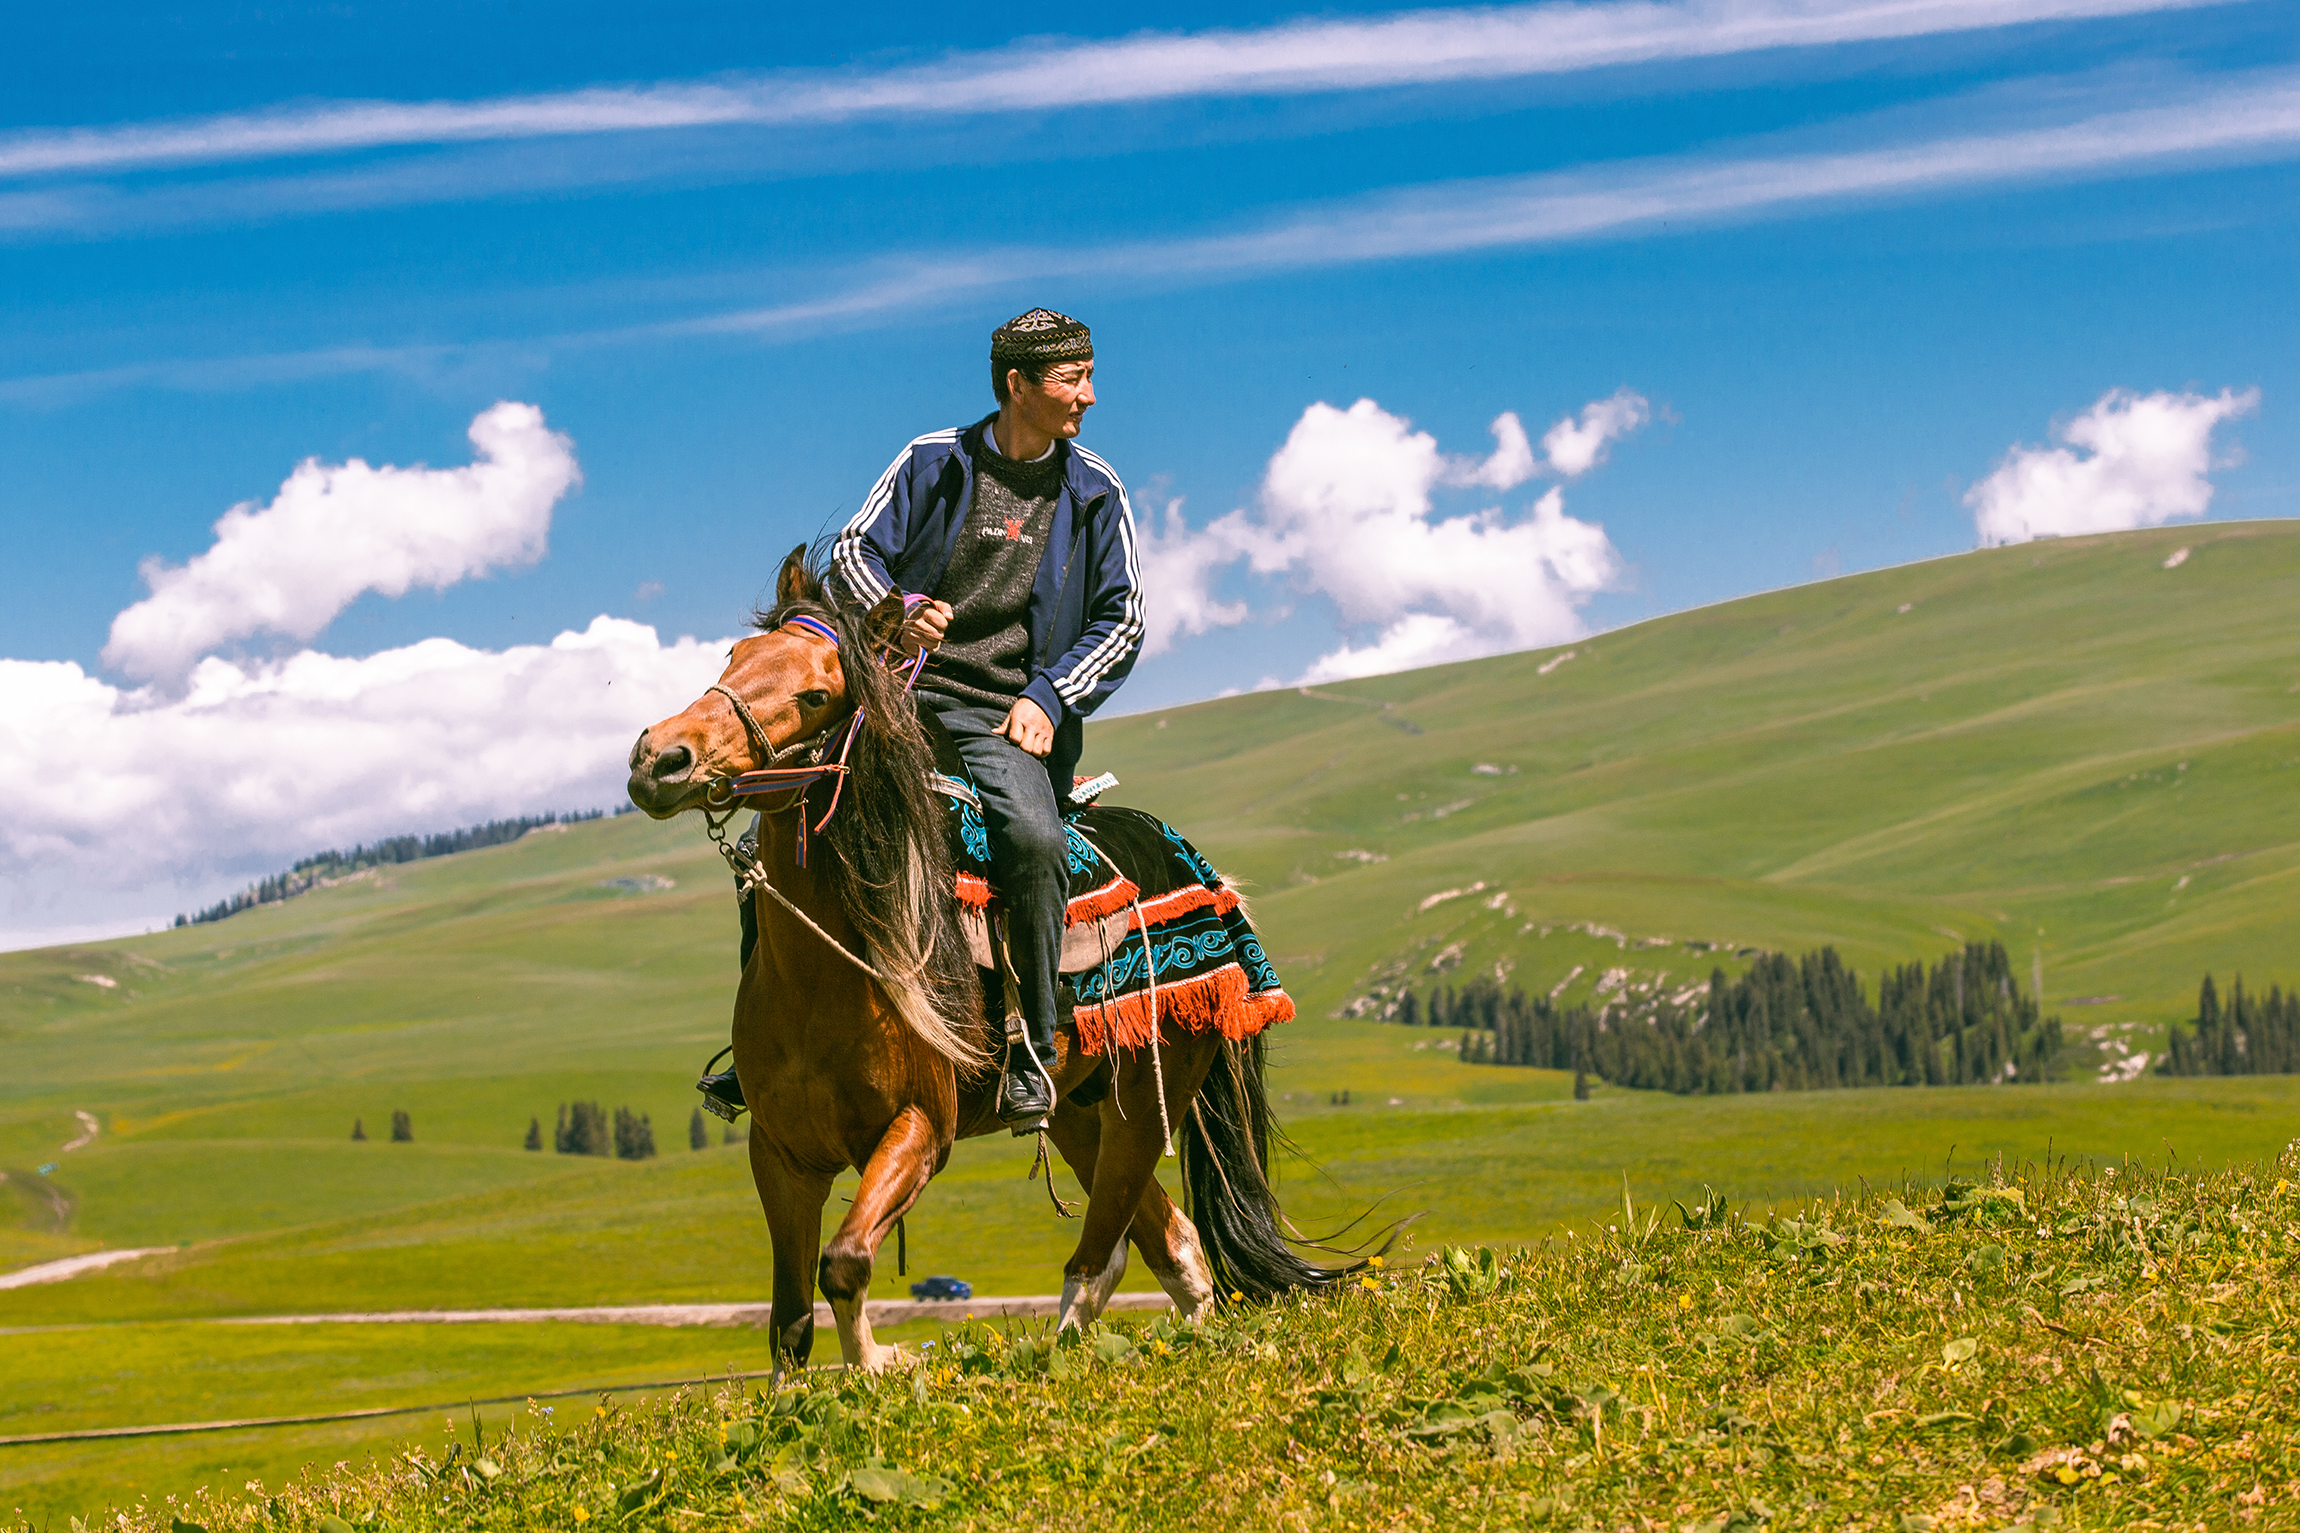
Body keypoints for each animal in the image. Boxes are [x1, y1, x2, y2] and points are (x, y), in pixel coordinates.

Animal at [625, 547, 1359, 1374]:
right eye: (734, 658)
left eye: (816, 694)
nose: (661, 758)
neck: (824, 973)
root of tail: (1202, 873)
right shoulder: (779, 1152)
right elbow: (788, 1319)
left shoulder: (921, 1127)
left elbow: (844, 1262)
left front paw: (880, 1362)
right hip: (1079, 1108)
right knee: (1168, 1240)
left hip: (1148, 1093)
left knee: (1102, 1252)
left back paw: (1069, 1348)